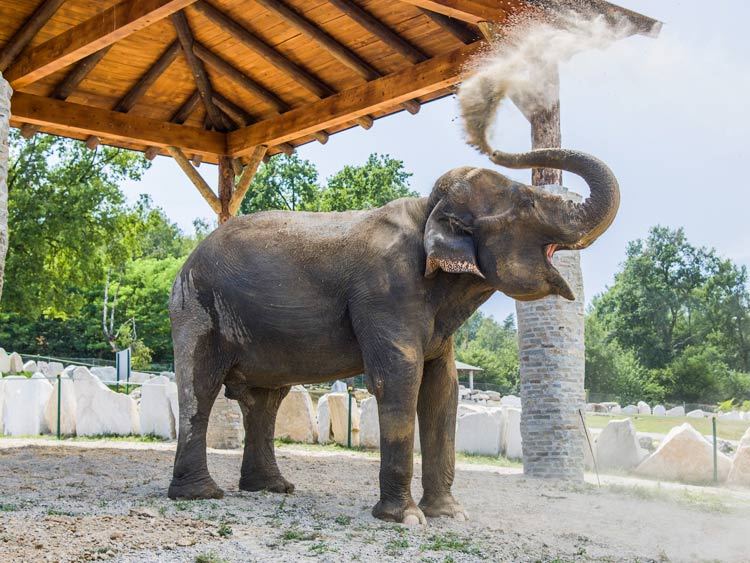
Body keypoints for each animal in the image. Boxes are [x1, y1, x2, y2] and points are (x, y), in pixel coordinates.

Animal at [170, 145, 624, 524]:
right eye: (528, 203)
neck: (428, 210)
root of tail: (188, 260)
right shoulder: (385, 291)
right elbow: (400, 379)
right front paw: (406, 519)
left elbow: (444, 389)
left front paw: (449, 516)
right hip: (197, 308)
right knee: (201, 387)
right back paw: (202, 495)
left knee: (264, 401)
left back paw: (271, 488)